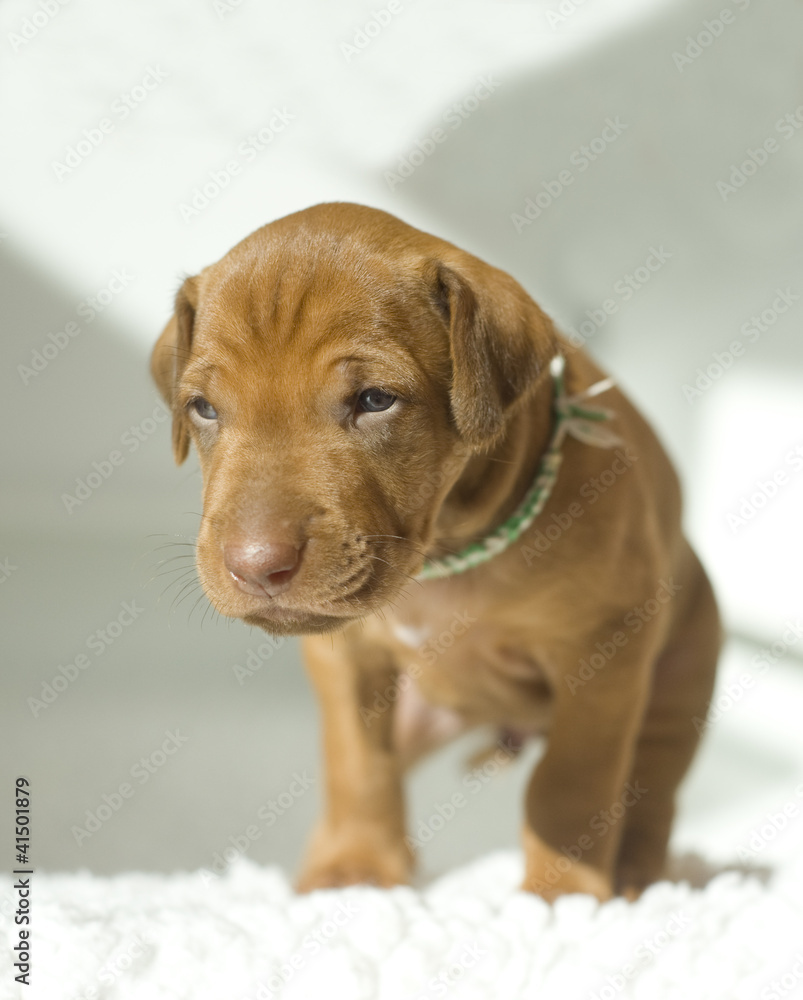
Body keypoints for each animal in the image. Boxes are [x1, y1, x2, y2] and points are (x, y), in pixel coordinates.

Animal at [151, 201, 724, 900]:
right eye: (203, 408)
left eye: (375, 400)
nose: (256, 567)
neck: (444, 561)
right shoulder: (346, 659)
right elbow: (357, 763)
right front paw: (354, 872)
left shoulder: (602, 650)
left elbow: (571, 780)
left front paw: (562, 893)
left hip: (680, 673)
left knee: (653, 786)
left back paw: (639, 870)